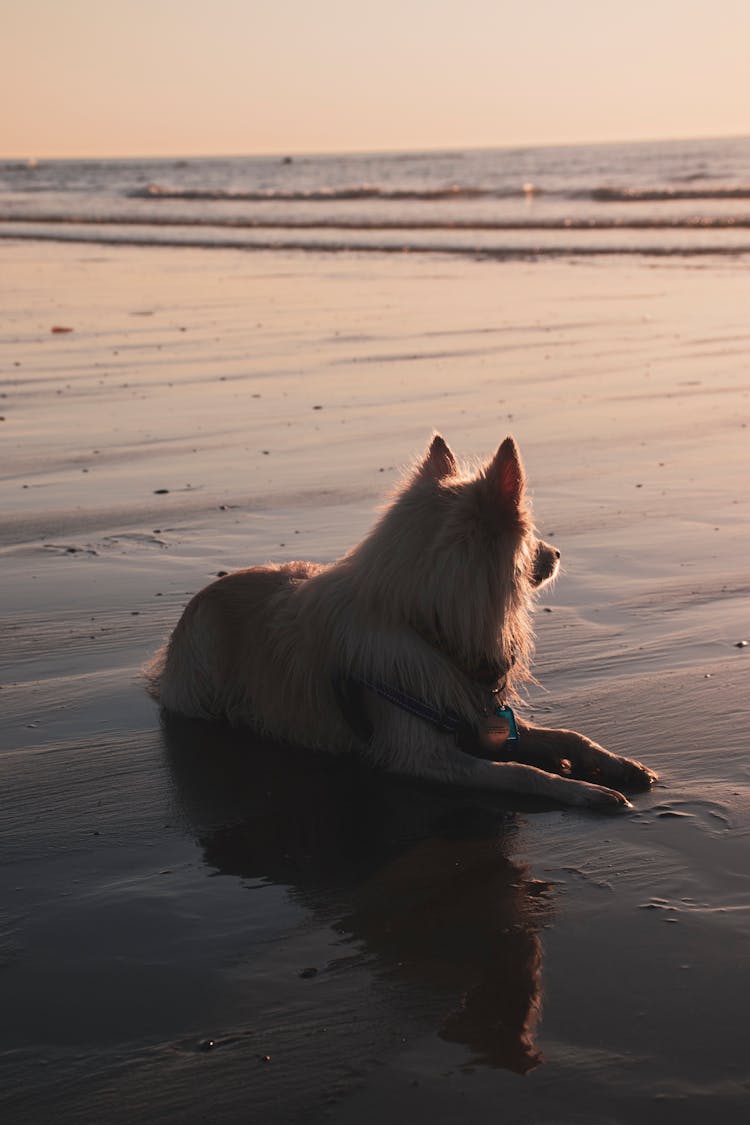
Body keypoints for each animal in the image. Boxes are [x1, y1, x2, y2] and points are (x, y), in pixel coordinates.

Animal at [146, 432, 656, 810]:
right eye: (532, 537)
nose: (558, 554)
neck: (428, 627)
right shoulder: (420, 755)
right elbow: (520, 772)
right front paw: (581, 789)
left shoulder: (476, 713)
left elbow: (569, 734)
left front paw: (613, 763)